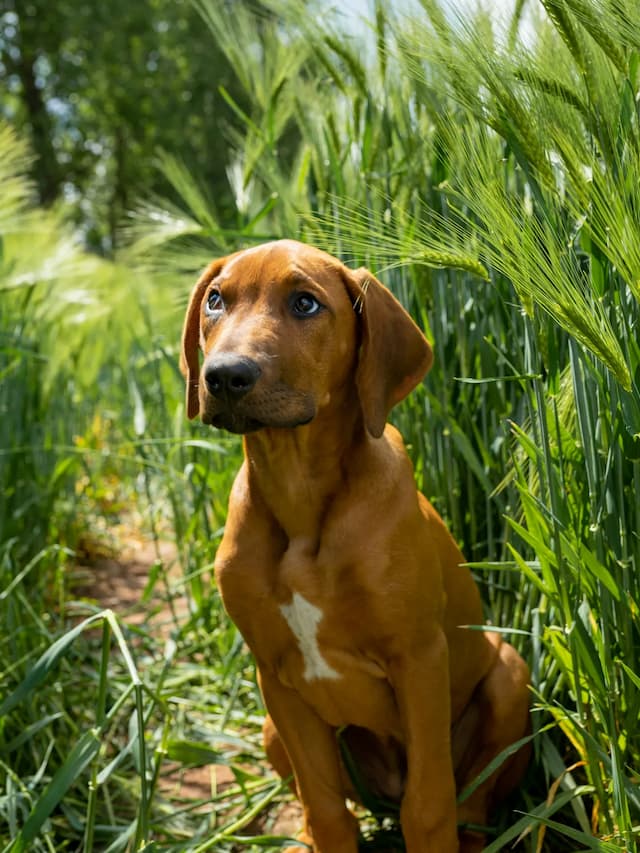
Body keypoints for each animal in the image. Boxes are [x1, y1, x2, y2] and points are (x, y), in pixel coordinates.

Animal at [180, 240, 528, 852]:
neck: (299, 498)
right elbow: (326, 809)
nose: (223, 376)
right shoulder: (274, 674)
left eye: (305, 303)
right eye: (216, 300)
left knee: (470, 802)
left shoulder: (419, 659)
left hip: (511, 674)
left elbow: (429, 807)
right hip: (272, 726)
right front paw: (321, 832)